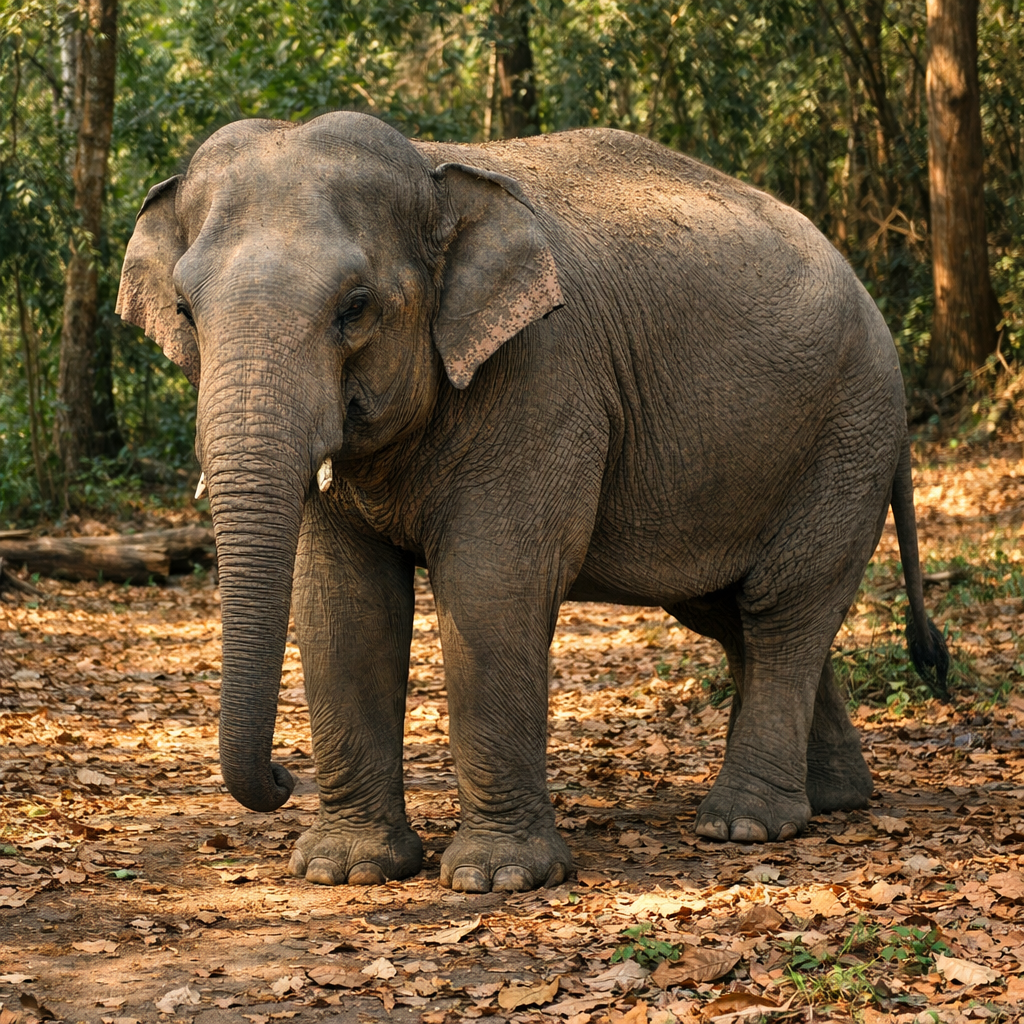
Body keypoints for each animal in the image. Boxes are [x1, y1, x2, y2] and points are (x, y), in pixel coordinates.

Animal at [117, 111, 949, 893]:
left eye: (355, 306)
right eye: (184, 310)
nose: (284, 777)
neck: (434, 173)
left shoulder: (544, 378)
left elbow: (492, 586)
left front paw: (496, 879)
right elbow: (342, 604)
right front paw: (344, 870)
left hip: (849, 433)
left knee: (783, 606)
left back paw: (744, 824)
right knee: (732, 614)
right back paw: (832, 798)